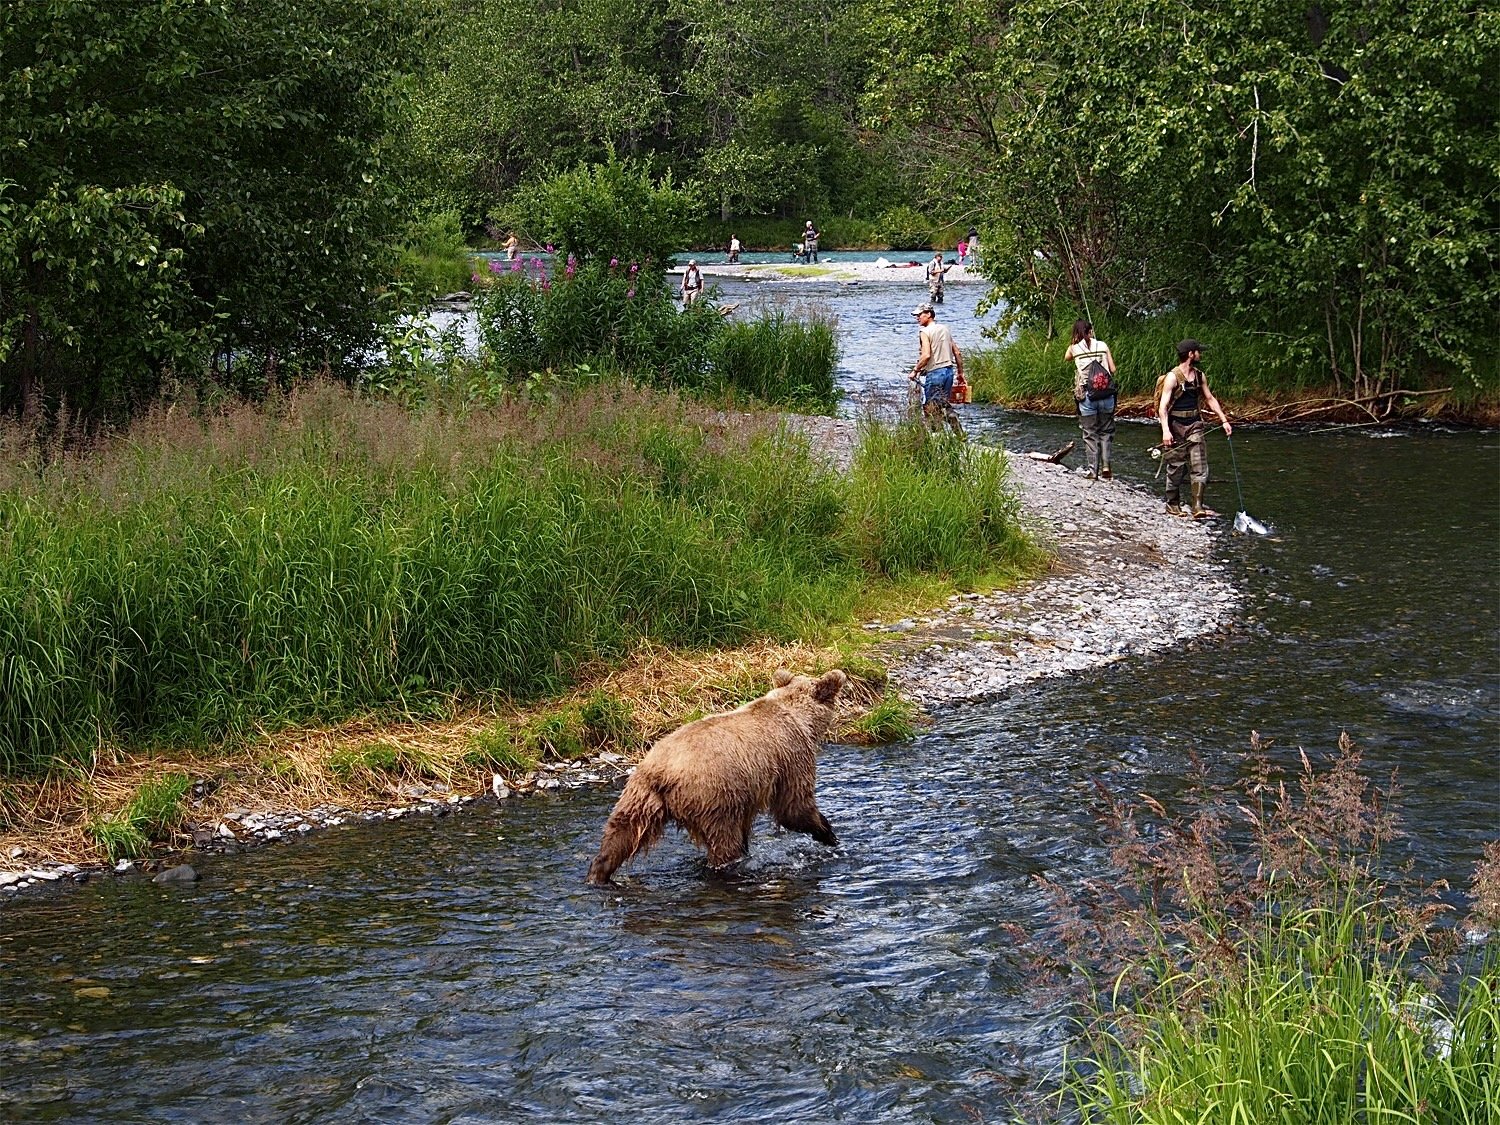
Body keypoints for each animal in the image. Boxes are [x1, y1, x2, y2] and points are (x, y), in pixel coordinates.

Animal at [586, 668, 847, 885]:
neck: (799, 717)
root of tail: (663, 772)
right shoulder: (791, 756)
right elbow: (794, 807)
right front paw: (829, 834)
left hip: (639, 794)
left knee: (621, 833)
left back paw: (598, 874)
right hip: (714, 797)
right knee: (724, 841)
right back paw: (728, 866)